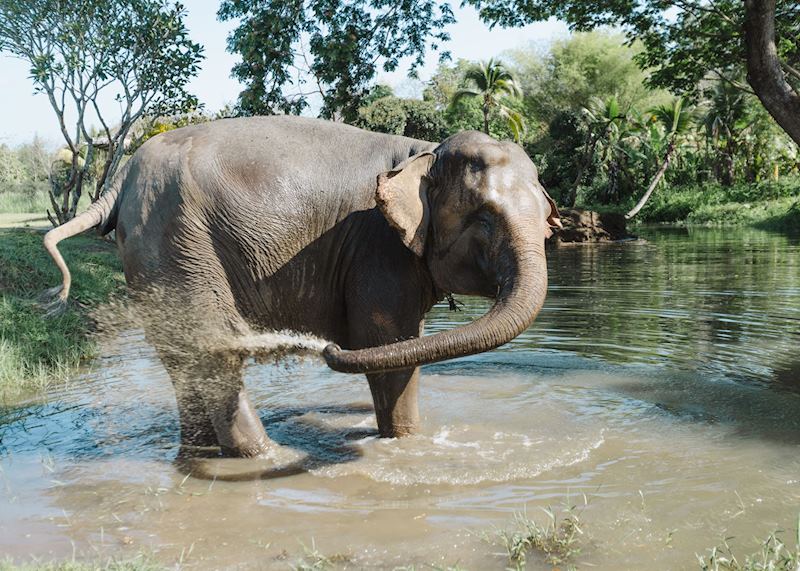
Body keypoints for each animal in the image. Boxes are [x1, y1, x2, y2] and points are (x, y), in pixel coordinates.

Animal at [43, 115, 561, 460]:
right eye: (485, 219)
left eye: (546, 220)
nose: (326, 346)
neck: (424, 150)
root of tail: (122, 178)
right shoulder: (377, 248)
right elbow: (387, 343)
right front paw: (407, 446)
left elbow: (398, 346)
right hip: (179, 243)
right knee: (213, 351)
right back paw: (265, 456)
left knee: (185, 360)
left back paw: (199, 454)